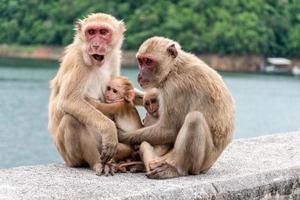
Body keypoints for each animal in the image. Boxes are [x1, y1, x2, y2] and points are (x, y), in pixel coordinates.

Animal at [48, 13, 125, 175]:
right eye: (91, 32)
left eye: (103, 32)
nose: (95, 44)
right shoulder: (78, 60)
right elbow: (69, 101)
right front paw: (109, 129)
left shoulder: (115, 57)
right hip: (69, 156)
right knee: (71, 120)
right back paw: (97, 163)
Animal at [118, 36, 236, 179]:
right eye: (141, 61)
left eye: (149, 62)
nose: (140, 74)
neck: (173, 68)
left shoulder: (175, 88)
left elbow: (169, 130)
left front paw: (121, 135)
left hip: (202, 162)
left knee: (194, 119)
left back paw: (177, 169)